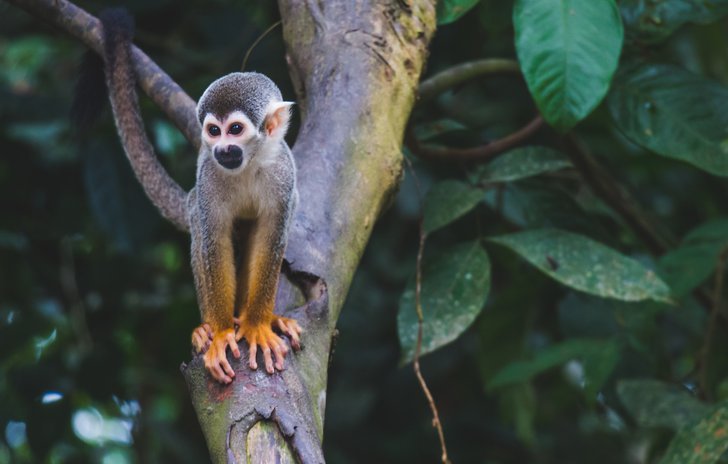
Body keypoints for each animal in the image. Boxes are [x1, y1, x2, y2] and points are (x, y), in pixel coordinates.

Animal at [85, 9, 302, 384]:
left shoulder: (284, 175)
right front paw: (221, 334)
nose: (222, 149)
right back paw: (207, 329)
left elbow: (272, 236)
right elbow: (213, 240)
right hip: (195, 198)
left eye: (235, 130)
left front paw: (258, 325)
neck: (249, 164)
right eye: (214, 131)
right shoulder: (209, 177)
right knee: (201, 228)